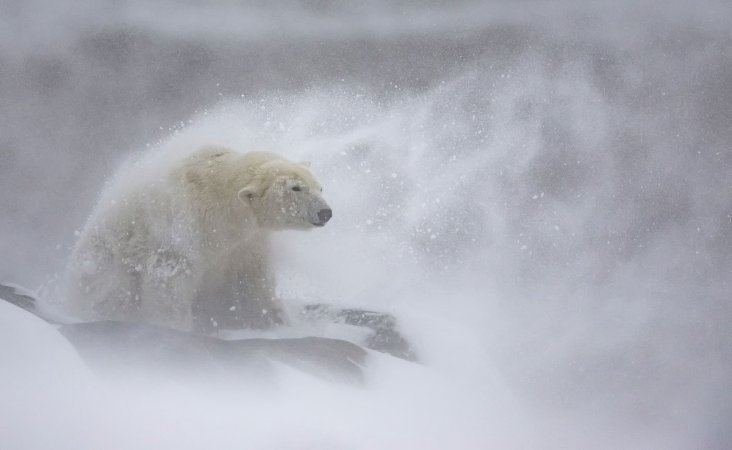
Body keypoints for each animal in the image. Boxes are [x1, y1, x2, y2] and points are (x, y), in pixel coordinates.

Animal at [63, 146, 332, 332]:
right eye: (296, 188)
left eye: (319, 187)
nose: (325, 212)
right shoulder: (184, 229)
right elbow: (169, 279)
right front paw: (173, 326)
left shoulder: (247, 242)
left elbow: (253, 281)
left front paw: (275, 321)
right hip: (106, 264)